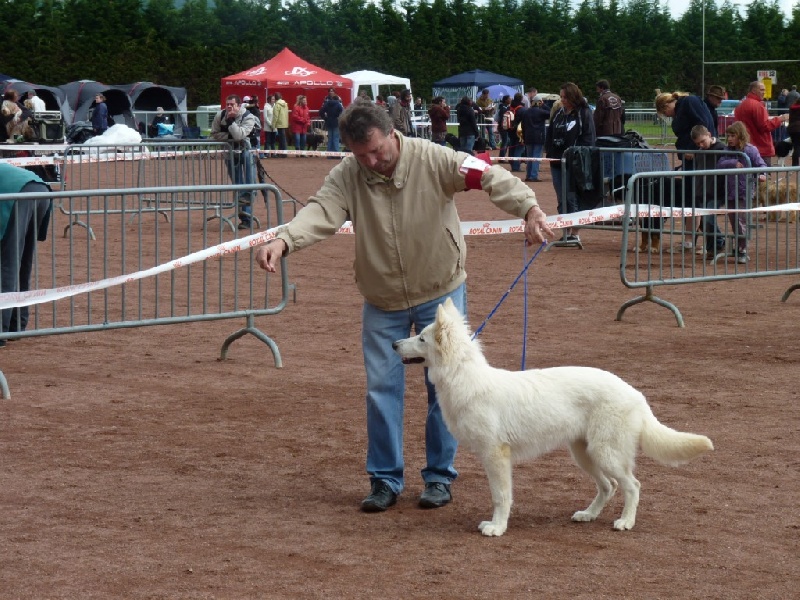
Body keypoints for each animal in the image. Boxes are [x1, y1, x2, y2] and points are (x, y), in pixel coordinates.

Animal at [392, 298, 713, 536]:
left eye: (421, 338)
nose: (395, 344)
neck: (465, 378)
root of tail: (636, 394)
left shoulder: (496, 456)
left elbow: (500, 496)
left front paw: (497, 527)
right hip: (584, 454)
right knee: (608, 486)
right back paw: (588, 515)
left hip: (605, 453)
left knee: (632, 486)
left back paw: (626, 522)